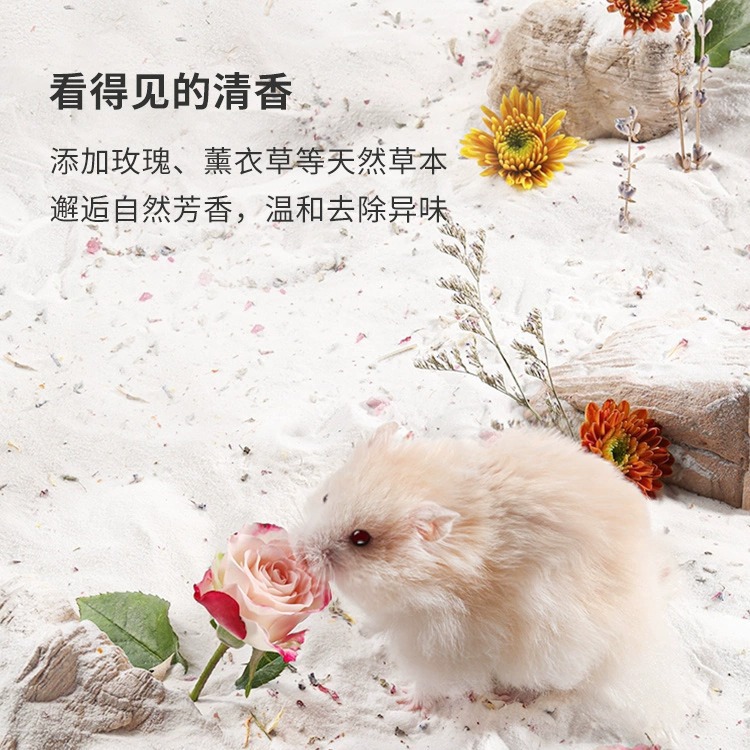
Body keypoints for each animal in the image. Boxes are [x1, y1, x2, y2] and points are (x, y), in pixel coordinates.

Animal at [294, 423, 697, 740]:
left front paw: (403, 700)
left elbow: (426, 683)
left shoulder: (435, 643)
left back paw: (513, 697)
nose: (300, 556)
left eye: (361, 539)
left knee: (562, 686)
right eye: (326, 496)